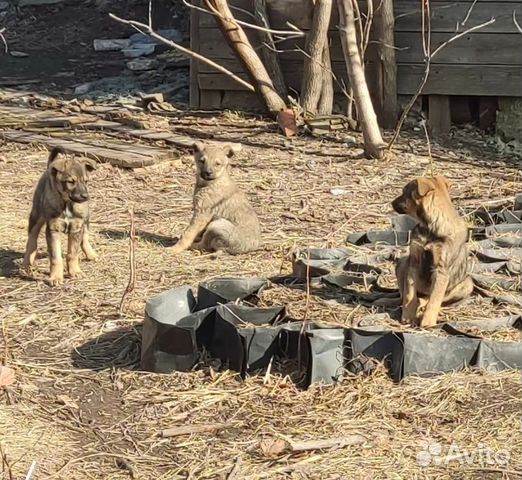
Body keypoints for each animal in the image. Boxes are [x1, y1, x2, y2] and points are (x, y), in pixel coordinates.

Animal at [21, 147, 97, 284]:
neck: (66, 203)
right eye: (71, 182)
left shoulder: (76, 227)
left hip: (86, 217)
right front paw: (55, 277)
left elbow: (73, 254)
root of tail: (49, 168)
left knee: (85, 236)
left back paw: (91, 254)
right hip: (36, 215)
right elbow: (56, 258)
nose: (85, 196)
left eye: (86, 181)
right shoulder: (53, 230)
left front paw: (75, 272)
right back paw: (26, 263)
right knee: (32, 239)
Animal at [390, 174, 472, 328]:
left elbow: (434, 300)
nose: (391, 203)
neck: (430, 227)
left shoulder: (441, 270)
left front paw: (428, 322)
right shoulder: (413, 262)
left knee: (432, 298)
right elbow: (409, 294)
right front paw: (408, 316)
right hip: (402, 262)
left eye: (404, 192)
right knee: (411, 295)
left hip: (467, 284)